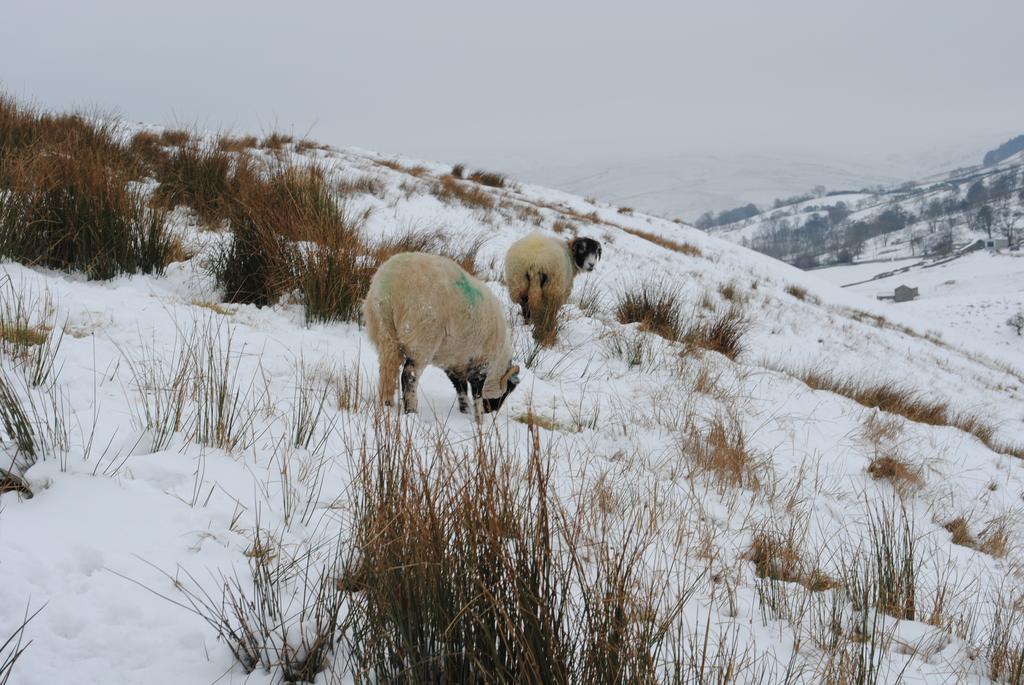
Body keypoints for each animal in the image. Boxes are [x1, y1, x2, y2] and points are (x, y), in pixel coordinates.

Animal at [362, 249, 520, 413]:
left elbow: (460, 387)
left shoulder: (454, 360)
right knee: (409, 374)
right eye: (508, 390)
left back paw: (386, 402)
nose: (491, 411)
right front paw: (474, 412)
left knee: (388, 366)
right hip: (421, 336)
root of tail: (391, 286)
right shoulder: (481, 363)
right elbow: (474, 391)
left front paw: (465, 409)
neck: (497, 361)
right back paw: (411, 409)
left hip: (383, 325)